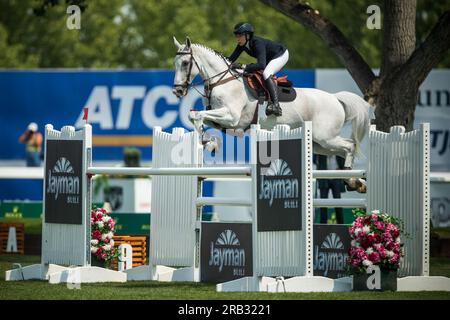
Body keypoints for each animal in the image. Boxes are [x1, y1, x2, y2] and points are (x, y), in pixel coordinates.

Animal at [171, 36, 372, 191]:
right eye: (175, 63)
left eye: (186, 63)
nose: (177, 91)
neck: (223, 80)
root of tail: (336, 99)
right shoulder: (224, 120)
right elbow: (195, 116)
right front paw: (209, 141)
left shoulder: (231, 117)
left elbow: (197, 116)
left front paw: (207, 142)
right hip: (319, 144)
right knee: (346, 149)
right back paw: (355, 181)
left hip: (325, 137)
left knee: (350, 145)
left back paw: (352, 179)